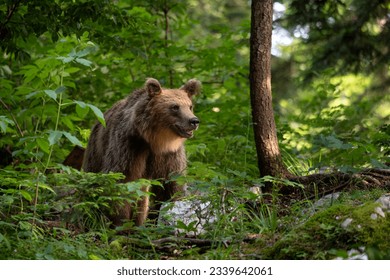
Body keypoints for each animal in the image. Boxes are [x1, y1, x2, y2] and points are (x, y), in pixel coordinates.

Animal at [81, 77, 200, 226]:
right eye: (175, 107)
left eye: (190, 106)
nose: (194, 121)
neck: (155, 141)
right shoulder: (129, 147)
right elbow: (121, 182)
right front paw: (121, 223)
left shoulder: (170, 155)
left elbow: (172, 185)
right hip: (96, 151)